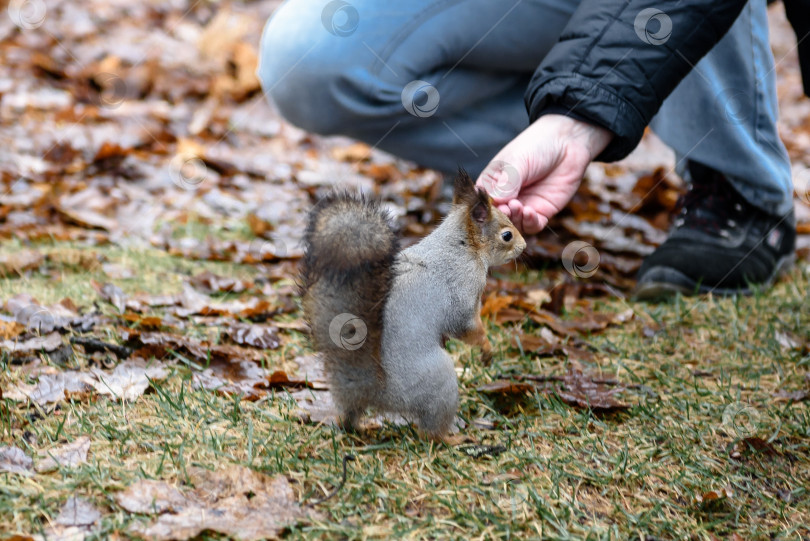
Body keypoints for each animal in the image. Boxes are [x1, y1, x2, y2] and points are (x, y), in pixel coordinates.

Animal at [300, 169, 528, 438]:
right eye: (507, 235)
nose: (524, 246)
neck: (462, 247)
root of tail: (376, 388)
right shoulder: (463, 287)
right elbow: (465, 325)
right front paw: (486, 347)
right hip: (439, 382)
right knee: (430, 432)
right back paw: (452, 438)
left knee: (350, 416)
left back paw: (359, 425)